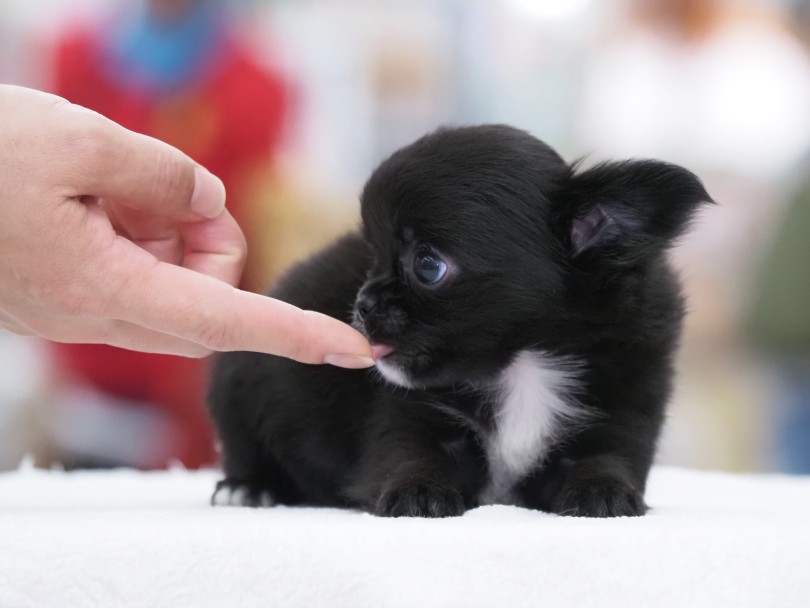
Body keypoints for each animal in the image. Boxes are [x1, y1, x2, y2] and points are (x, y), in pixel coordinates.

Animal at [207, 124, 708, 516]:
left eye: (428, 265)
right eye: (374, 256)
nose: (363, 303)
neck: (523, 363)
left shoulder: (616, 411)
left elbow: (604, 458)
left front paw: (604, 490)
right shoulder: (411, 417)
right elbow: (410, 454)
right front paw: (418, 491)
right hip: (239, 382)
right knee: (243, 445)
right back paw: (248, 487)